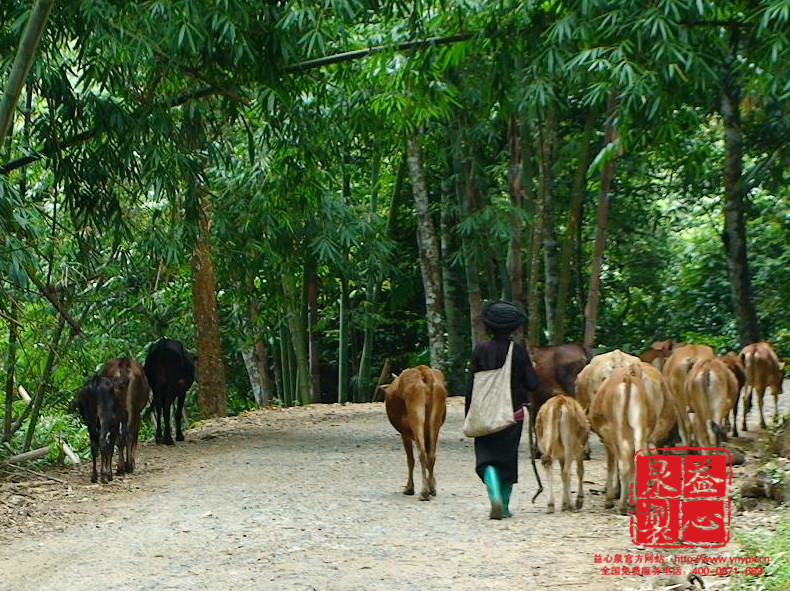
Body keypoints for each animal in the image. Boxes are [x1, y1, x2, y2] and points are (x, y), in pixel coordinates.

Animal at [382, 368, 446, 502]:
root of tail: (423, 370)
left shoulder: (404, 434)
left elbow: (410, 460)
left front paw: (409, 488)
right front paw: (433, 484)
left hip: (416, 417)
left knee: (421, 454)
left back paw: (424, 493)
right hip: (435, 422)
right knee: (431, 455)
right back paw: (431, 489)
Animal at [588, 364, 656, 516]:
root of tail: (628, 377)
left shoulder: (607, 441)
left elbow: (611, 466)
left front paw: (610, 499)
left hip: (618, 431)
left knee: (623, 464)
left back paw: (623, 506)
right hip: (639, 428)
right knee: (639, 459)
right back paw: (636, 504)